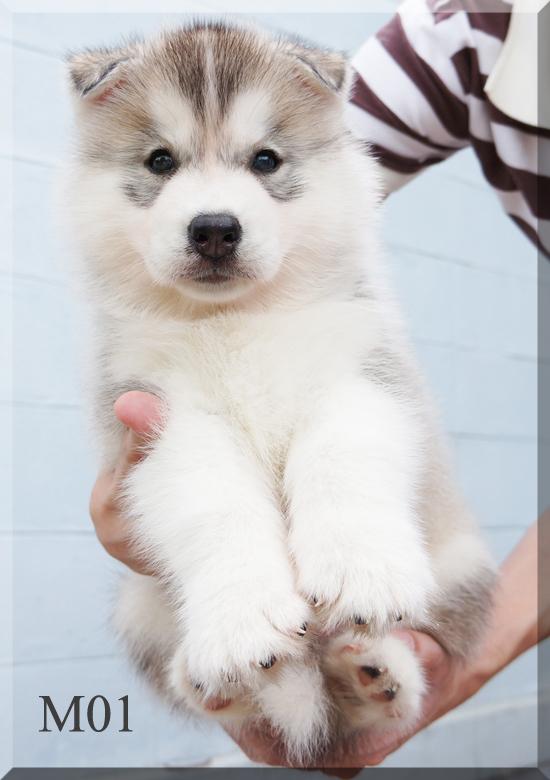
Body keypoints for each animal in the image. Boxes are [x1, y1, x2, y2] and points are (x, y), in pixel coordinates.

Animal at [65, 21, 496, 763]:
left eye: (265, 160)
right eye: (160, 161)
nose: (214, 227)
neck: (234, 320)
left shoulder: (364, 375)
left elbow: (341, 457)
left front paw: (359, 567)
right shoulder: (161, 421)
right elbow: (214, 502)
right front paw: (243, 619)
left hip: (463, 562)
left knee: (412, 662)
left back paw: (374, 671)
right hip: (138, 606)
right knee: (252, 691)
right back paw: (222, 681)